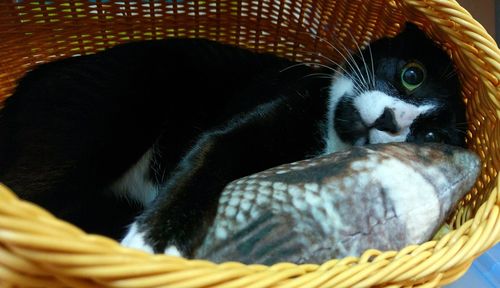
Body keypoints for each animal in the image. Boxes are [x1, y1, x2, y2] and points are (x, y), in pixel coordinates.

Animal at [0, 22, 464, 256]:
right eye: (412, 74)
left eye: (431, 135)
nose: (392, 118)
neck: (328, 137)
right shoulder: (265, 111)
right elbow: (212, 152)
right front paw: (153, 243)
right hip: (107, 113)